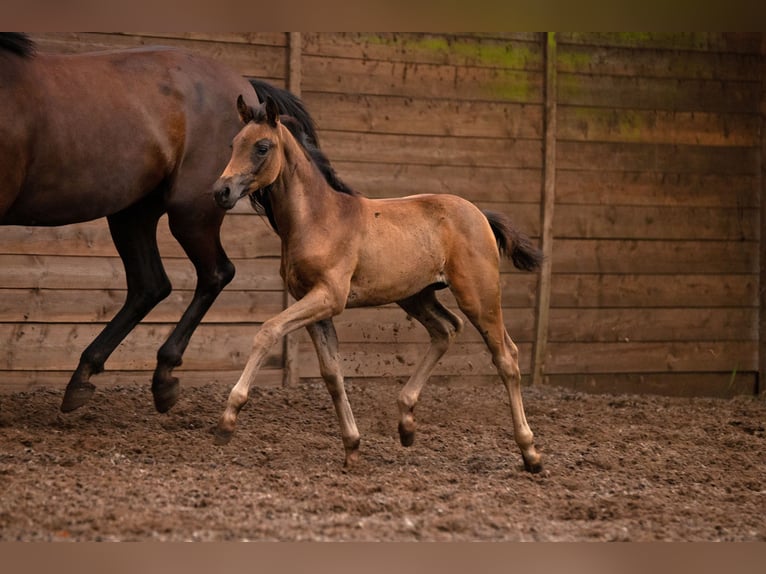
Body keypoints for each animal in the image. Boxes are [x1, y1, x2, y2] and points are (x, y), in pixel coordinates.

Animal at [0, 33, 319, 414]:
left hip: (190, 212)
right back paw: (84, 377)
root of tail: (244, 85)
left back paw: (163, 377)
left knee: (214, 273)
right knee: (150, 284)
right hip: (133, 212)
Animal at [211, 94, 544, 473]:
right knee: (446, 329)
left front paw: (227, 420)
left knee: (506, 357)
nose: (221, 191)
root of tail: (481, 215)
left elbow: (267, 330)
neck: (318, 218)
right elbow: (331, 374)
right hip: (416, 295)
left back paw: (530, 452)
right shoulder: (313, 305)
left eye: (262, 147)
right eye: (234, 144)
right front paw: (352, 446)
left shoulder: (329, 297)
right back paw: (406, 423)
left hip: (478, 295)